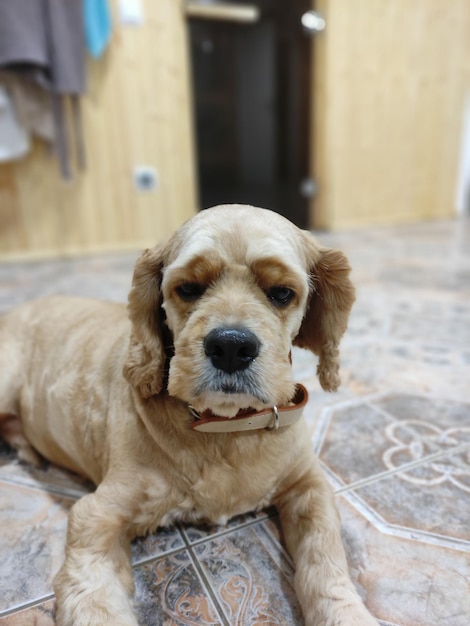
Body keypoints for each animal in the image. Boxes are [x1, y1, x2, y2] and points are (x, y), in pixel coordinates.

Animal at [0, 206, 376, 624]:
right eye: (189, 288)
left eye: (281, 293)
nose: (231, 347)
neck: (225, 429)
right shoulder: (96, 514)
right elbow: (95, 598)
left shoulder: (309, 487)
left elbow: (326, 560)